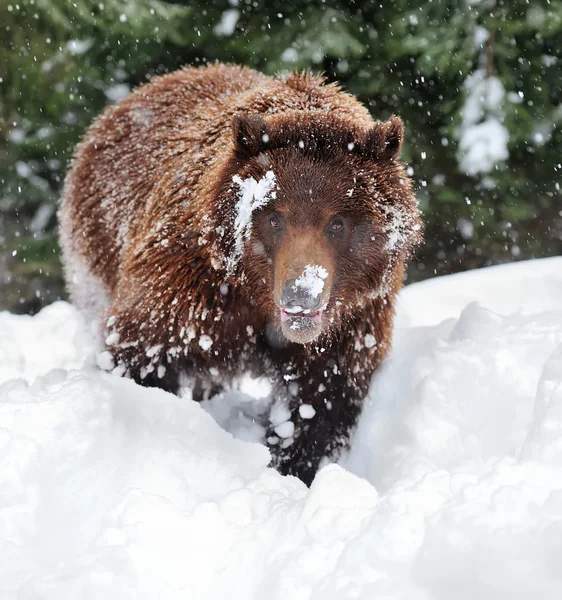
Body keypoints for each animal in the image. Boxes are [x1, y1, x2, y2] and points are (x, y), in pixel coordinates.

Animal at [60, 63, 420, 486]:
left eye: (337, 223)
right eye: (275, 217)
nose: (300, 295)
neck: (256, 298)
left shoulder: (353, 320)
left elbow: (320, 401)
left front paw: (292, 467)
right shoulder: (190, 284)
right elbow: (145, 347)